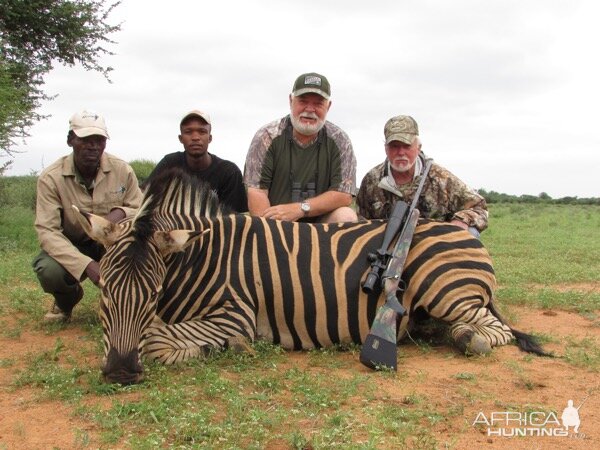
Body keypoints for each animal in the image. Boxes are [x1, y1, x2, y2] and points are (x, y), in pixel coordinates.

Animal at [72, 169, 548, 384]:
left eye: (153, 293)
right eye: (104, 293)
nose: (119, 372)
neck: (201, 257)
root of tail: (462, 232)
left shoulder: (235, 314)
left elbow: (155, 339)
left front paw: (229, 347)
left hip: (449, 292)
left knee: (492, 330)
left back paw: (467, 338)